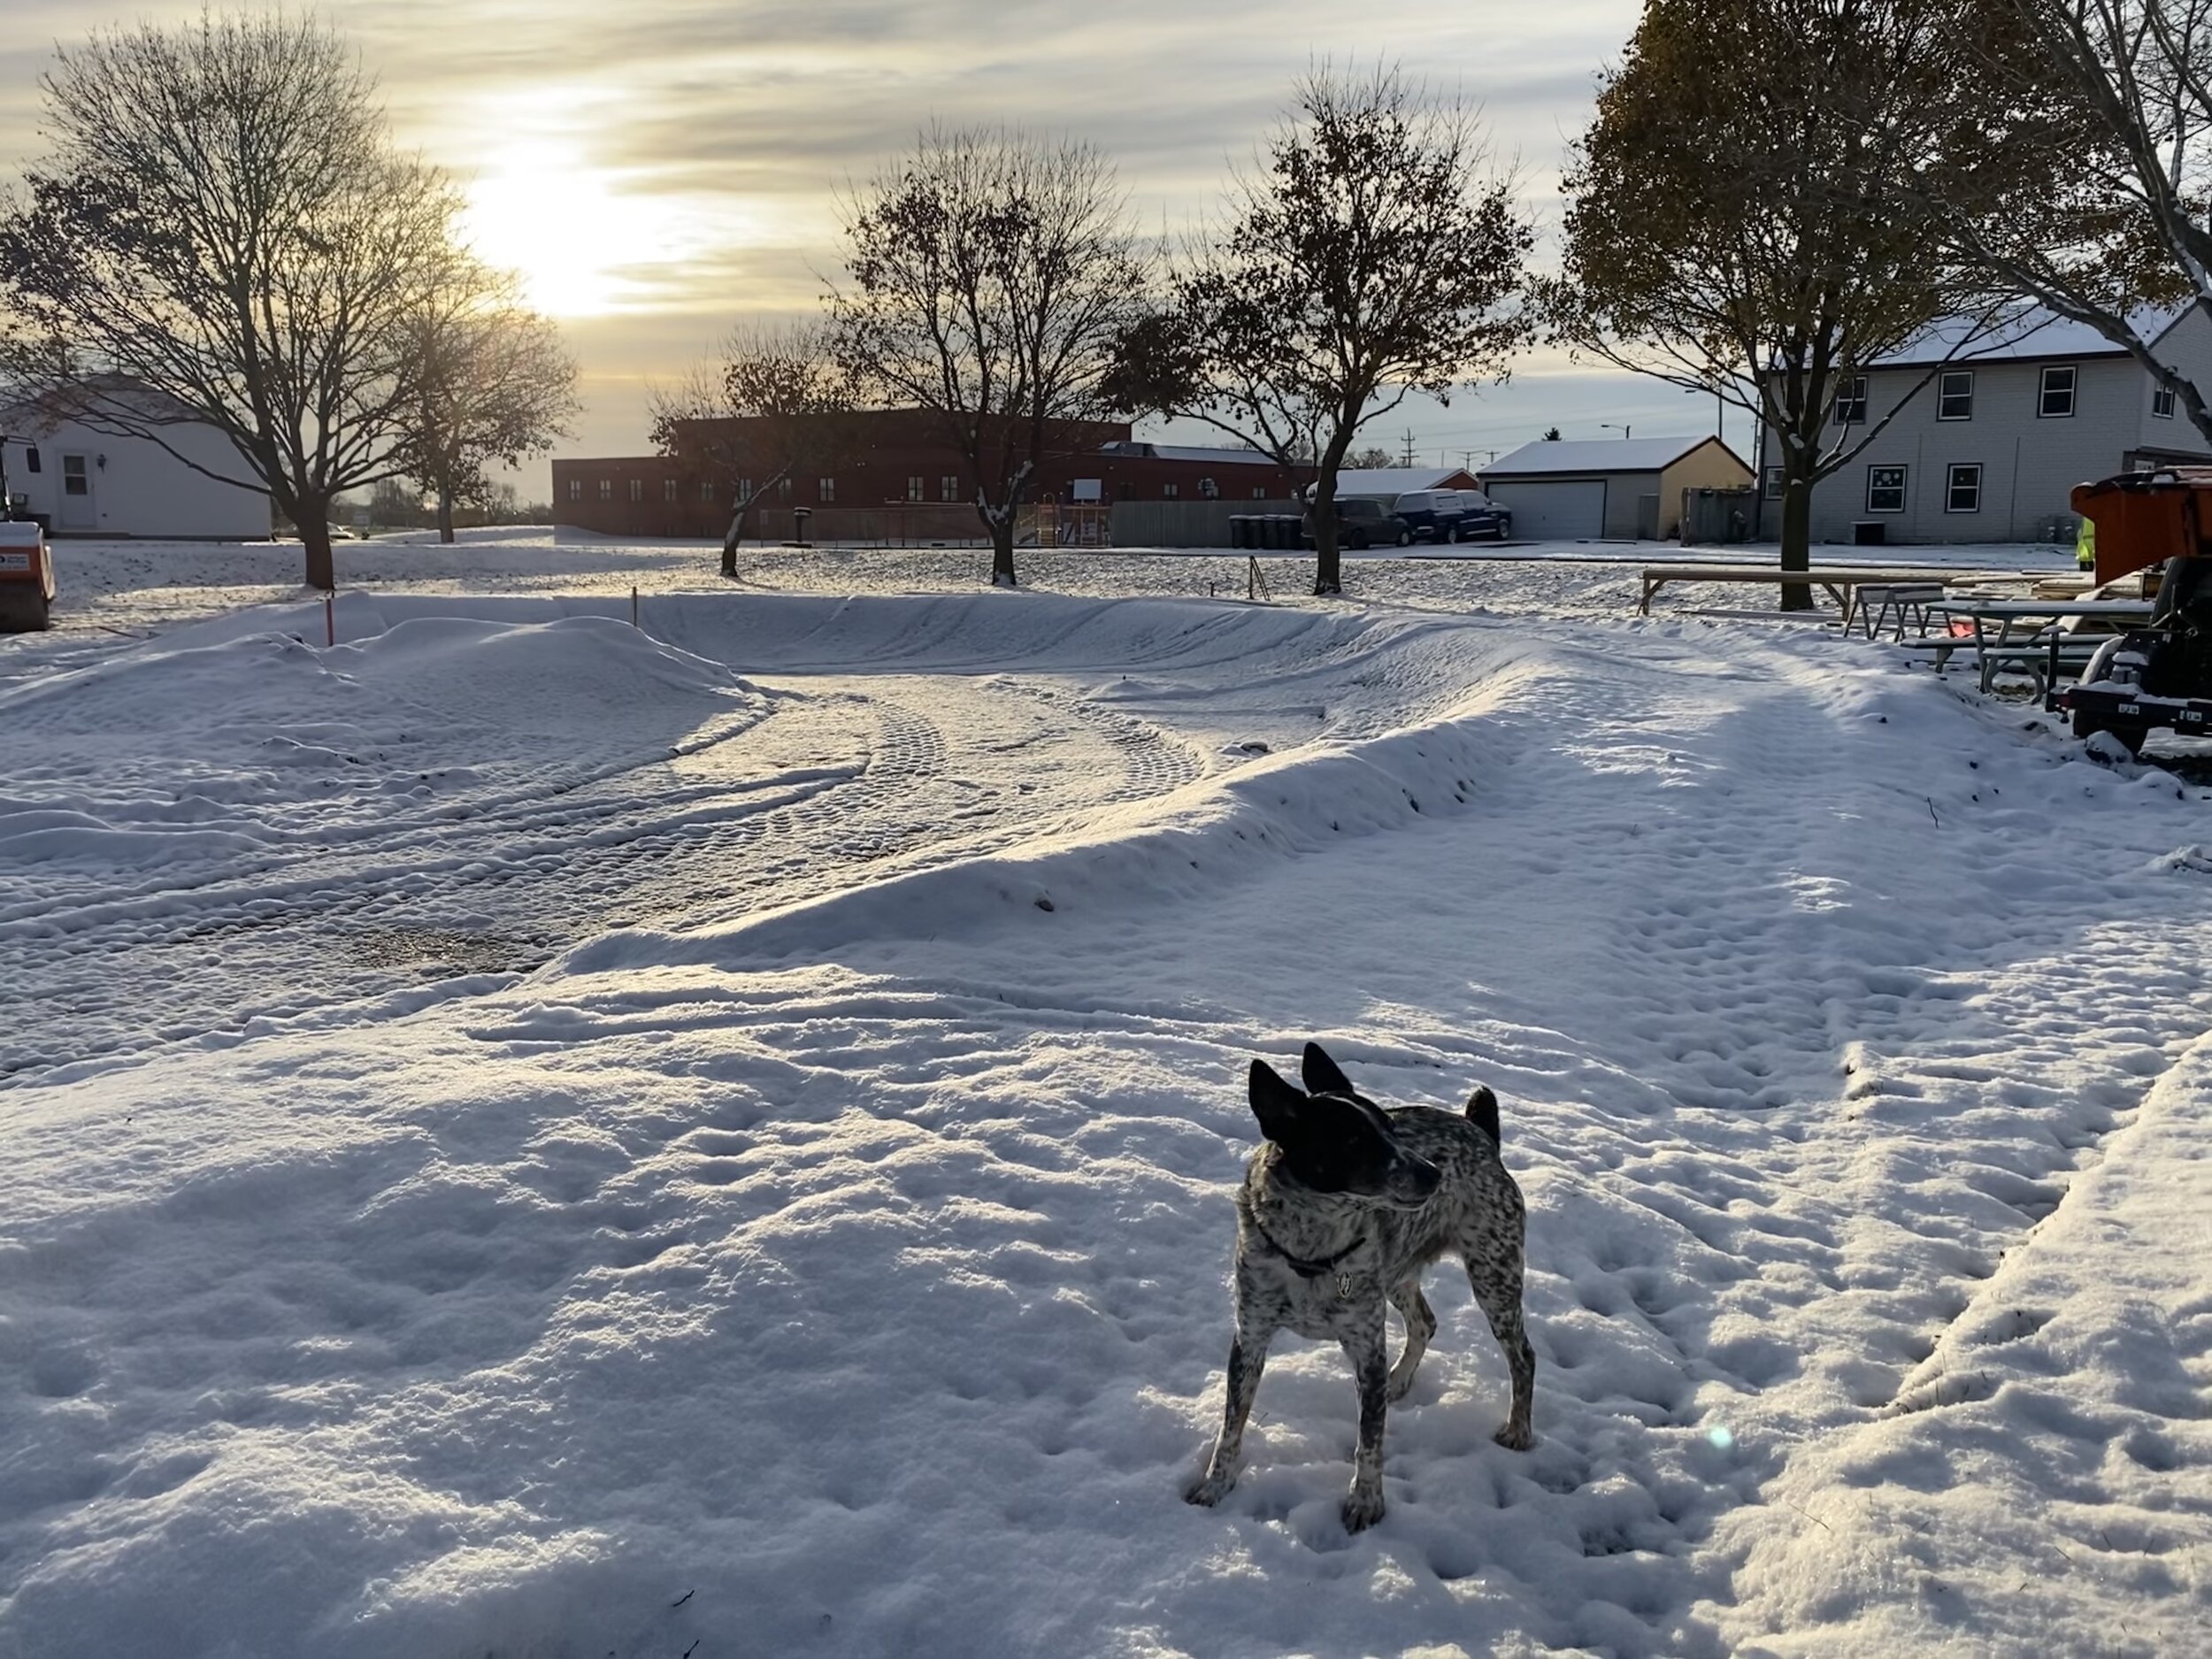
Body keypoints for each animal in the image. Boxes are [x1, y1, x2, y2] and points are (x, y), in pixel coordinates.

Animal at [1186, 1044, 1531, 1540]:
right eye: (1353, 1141)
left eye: (1391, 1127)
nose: (1433, 1174)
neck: (1311, 1251)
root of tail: (1482, 1134)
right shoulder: (1249, 1338)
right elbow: (1231, 1427)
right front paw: (1216, 1485)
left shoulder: (1367, 1347)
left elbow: (1369, 1441)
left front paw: (1366, 1501)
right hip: (1400, 1273)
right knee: (1425, 1322)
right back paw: (1399, 1381)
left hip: (1494, 1274)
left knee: (1523, 1358)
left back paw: (1518, 1429)